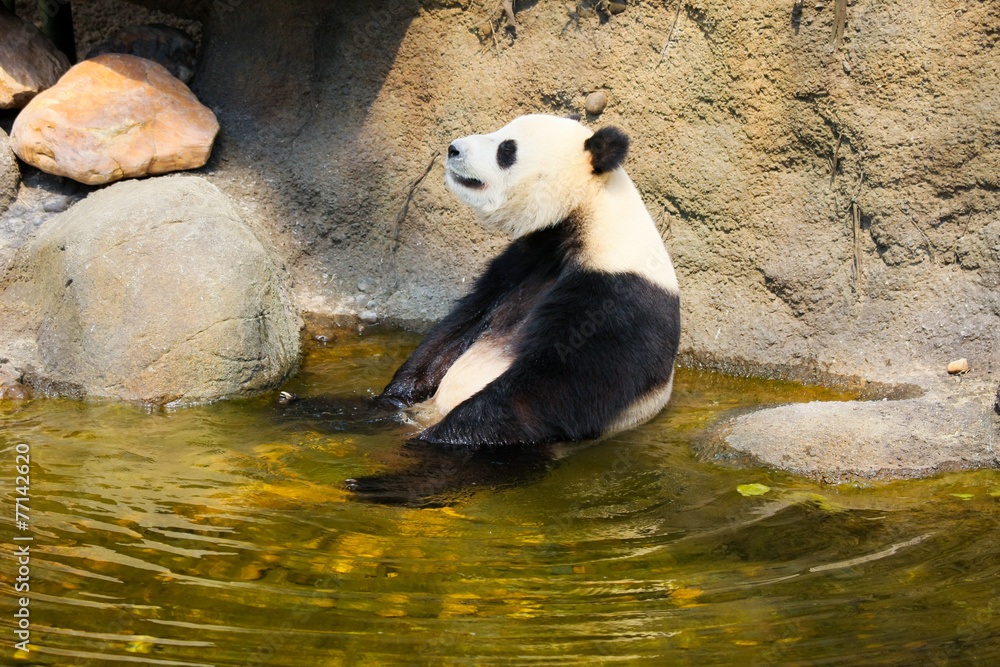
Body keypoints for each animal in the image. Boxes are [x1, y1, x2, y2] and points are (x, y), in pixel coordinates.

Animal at [378, 114, 680, 447]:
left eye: (507, 150)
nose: (453, 149)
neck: (587, 215)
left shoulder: (618, 297)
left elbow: (554, 388)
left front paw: (443, 436)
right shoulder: (518, 265)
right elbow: (454, 331)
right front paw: (394, 394)